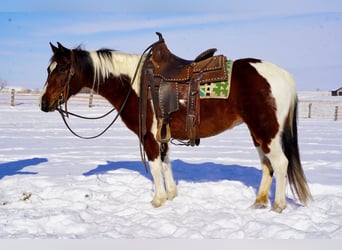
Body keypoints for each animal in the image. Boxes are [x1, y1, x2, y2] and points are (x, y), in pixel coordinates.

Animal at [40, 33, 312, 213]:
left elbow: (156, 167)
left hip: (267, 131)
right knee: (267, 165)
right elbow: (166, 163)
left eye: (62, 69)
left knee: (280, 163)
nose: (44, 102)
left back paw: (278, 205)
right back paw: (258, 201)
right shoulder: (163, 135)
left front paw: (158, 200)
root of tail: (284, 76)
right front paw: (171, 194)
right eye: (48, 69)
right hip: (258, 133)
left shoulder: (149, 137)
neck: (135, 85)